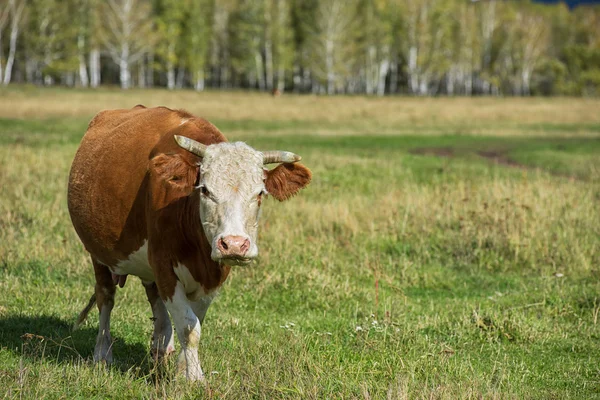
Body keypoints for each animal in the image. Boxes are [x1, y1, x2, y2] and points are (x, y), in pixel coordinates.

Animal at [68, 106, 312, 382]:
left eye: (260, 193)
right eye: (204, 190)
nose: (233, 244)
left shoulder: (213, 276)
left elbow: (196, 322)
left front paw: (183, 370)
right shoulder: (164, 266)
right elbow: (187, 325)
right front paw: (194, 378)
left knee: (155, 301)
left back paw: (161, 346)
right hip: (98, 255)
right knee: (106, 298)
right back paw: (102, 353)